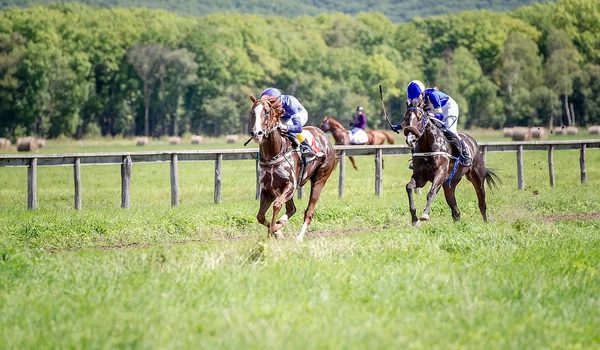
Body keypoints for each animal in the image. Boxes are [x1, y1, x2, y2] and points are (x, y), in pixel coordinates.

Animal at [250, 93, 338, 241]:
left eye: (266, 112)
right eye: (252, 112)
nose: (257, 133)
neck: (274, 154)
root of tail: (325, 138)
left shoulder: (290, 186)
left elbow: (277, 205)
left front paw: (275, 230)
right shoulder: (268, 189)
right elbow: (260, 216)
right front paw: (276, 230)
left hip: (320, 179)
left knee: (309, 212)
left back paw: (299, 238)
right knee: (291, 209)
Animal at [404, 98, 502, 227]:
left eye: (419, 117)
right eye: (406, 118)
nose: (410, 140)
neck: (428, 147)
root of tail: (472, 142)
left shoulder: (440, 174)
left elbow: (431, 192)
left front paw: (425, 215)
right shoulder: (420, 177)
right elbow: (409, 187)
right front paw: (414, 218)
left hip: (477, 176)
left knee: (482, 202)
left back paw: (485, 223)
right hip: (449, 184)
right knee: (455, 210)